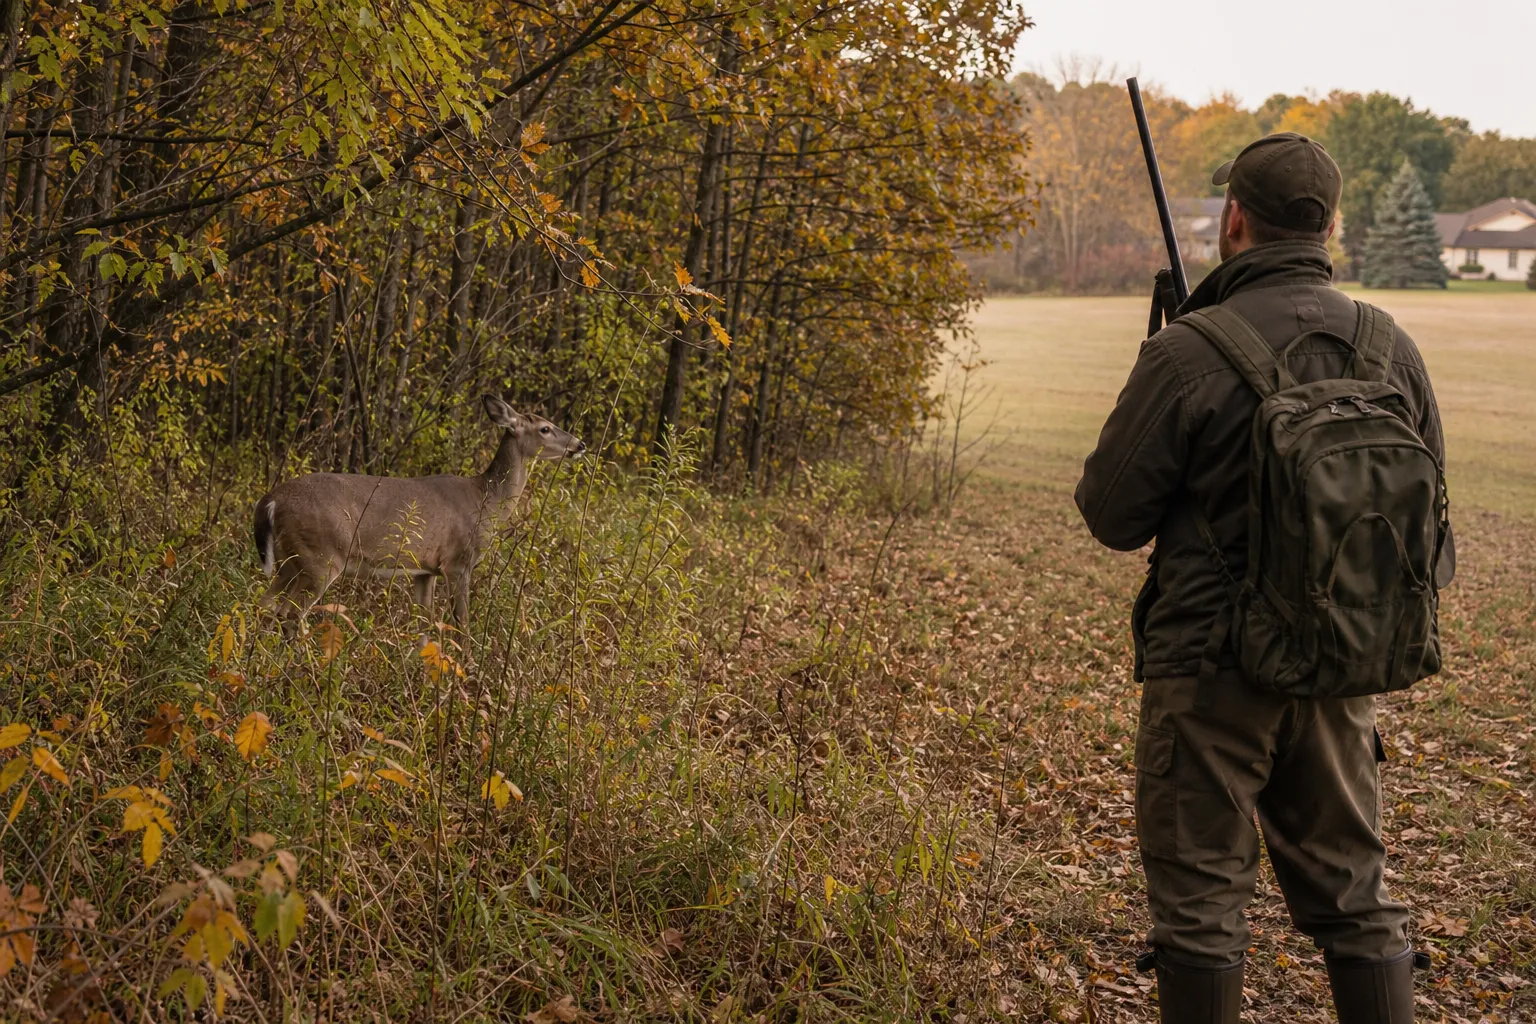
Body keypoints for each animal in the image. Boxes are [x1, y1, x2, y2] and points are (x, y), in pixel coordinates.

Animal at [253, 395, 585, 631]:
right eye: (545, 428)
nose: (580, 444)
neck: (485, 500)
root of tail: (270, 500)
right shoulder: (458, 561)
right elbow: (462, 625)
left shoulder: (425, 570)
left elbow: (424, 624)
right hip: (320, 557)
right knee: (290, 615)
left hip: (289, 562)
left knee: (263, 605)